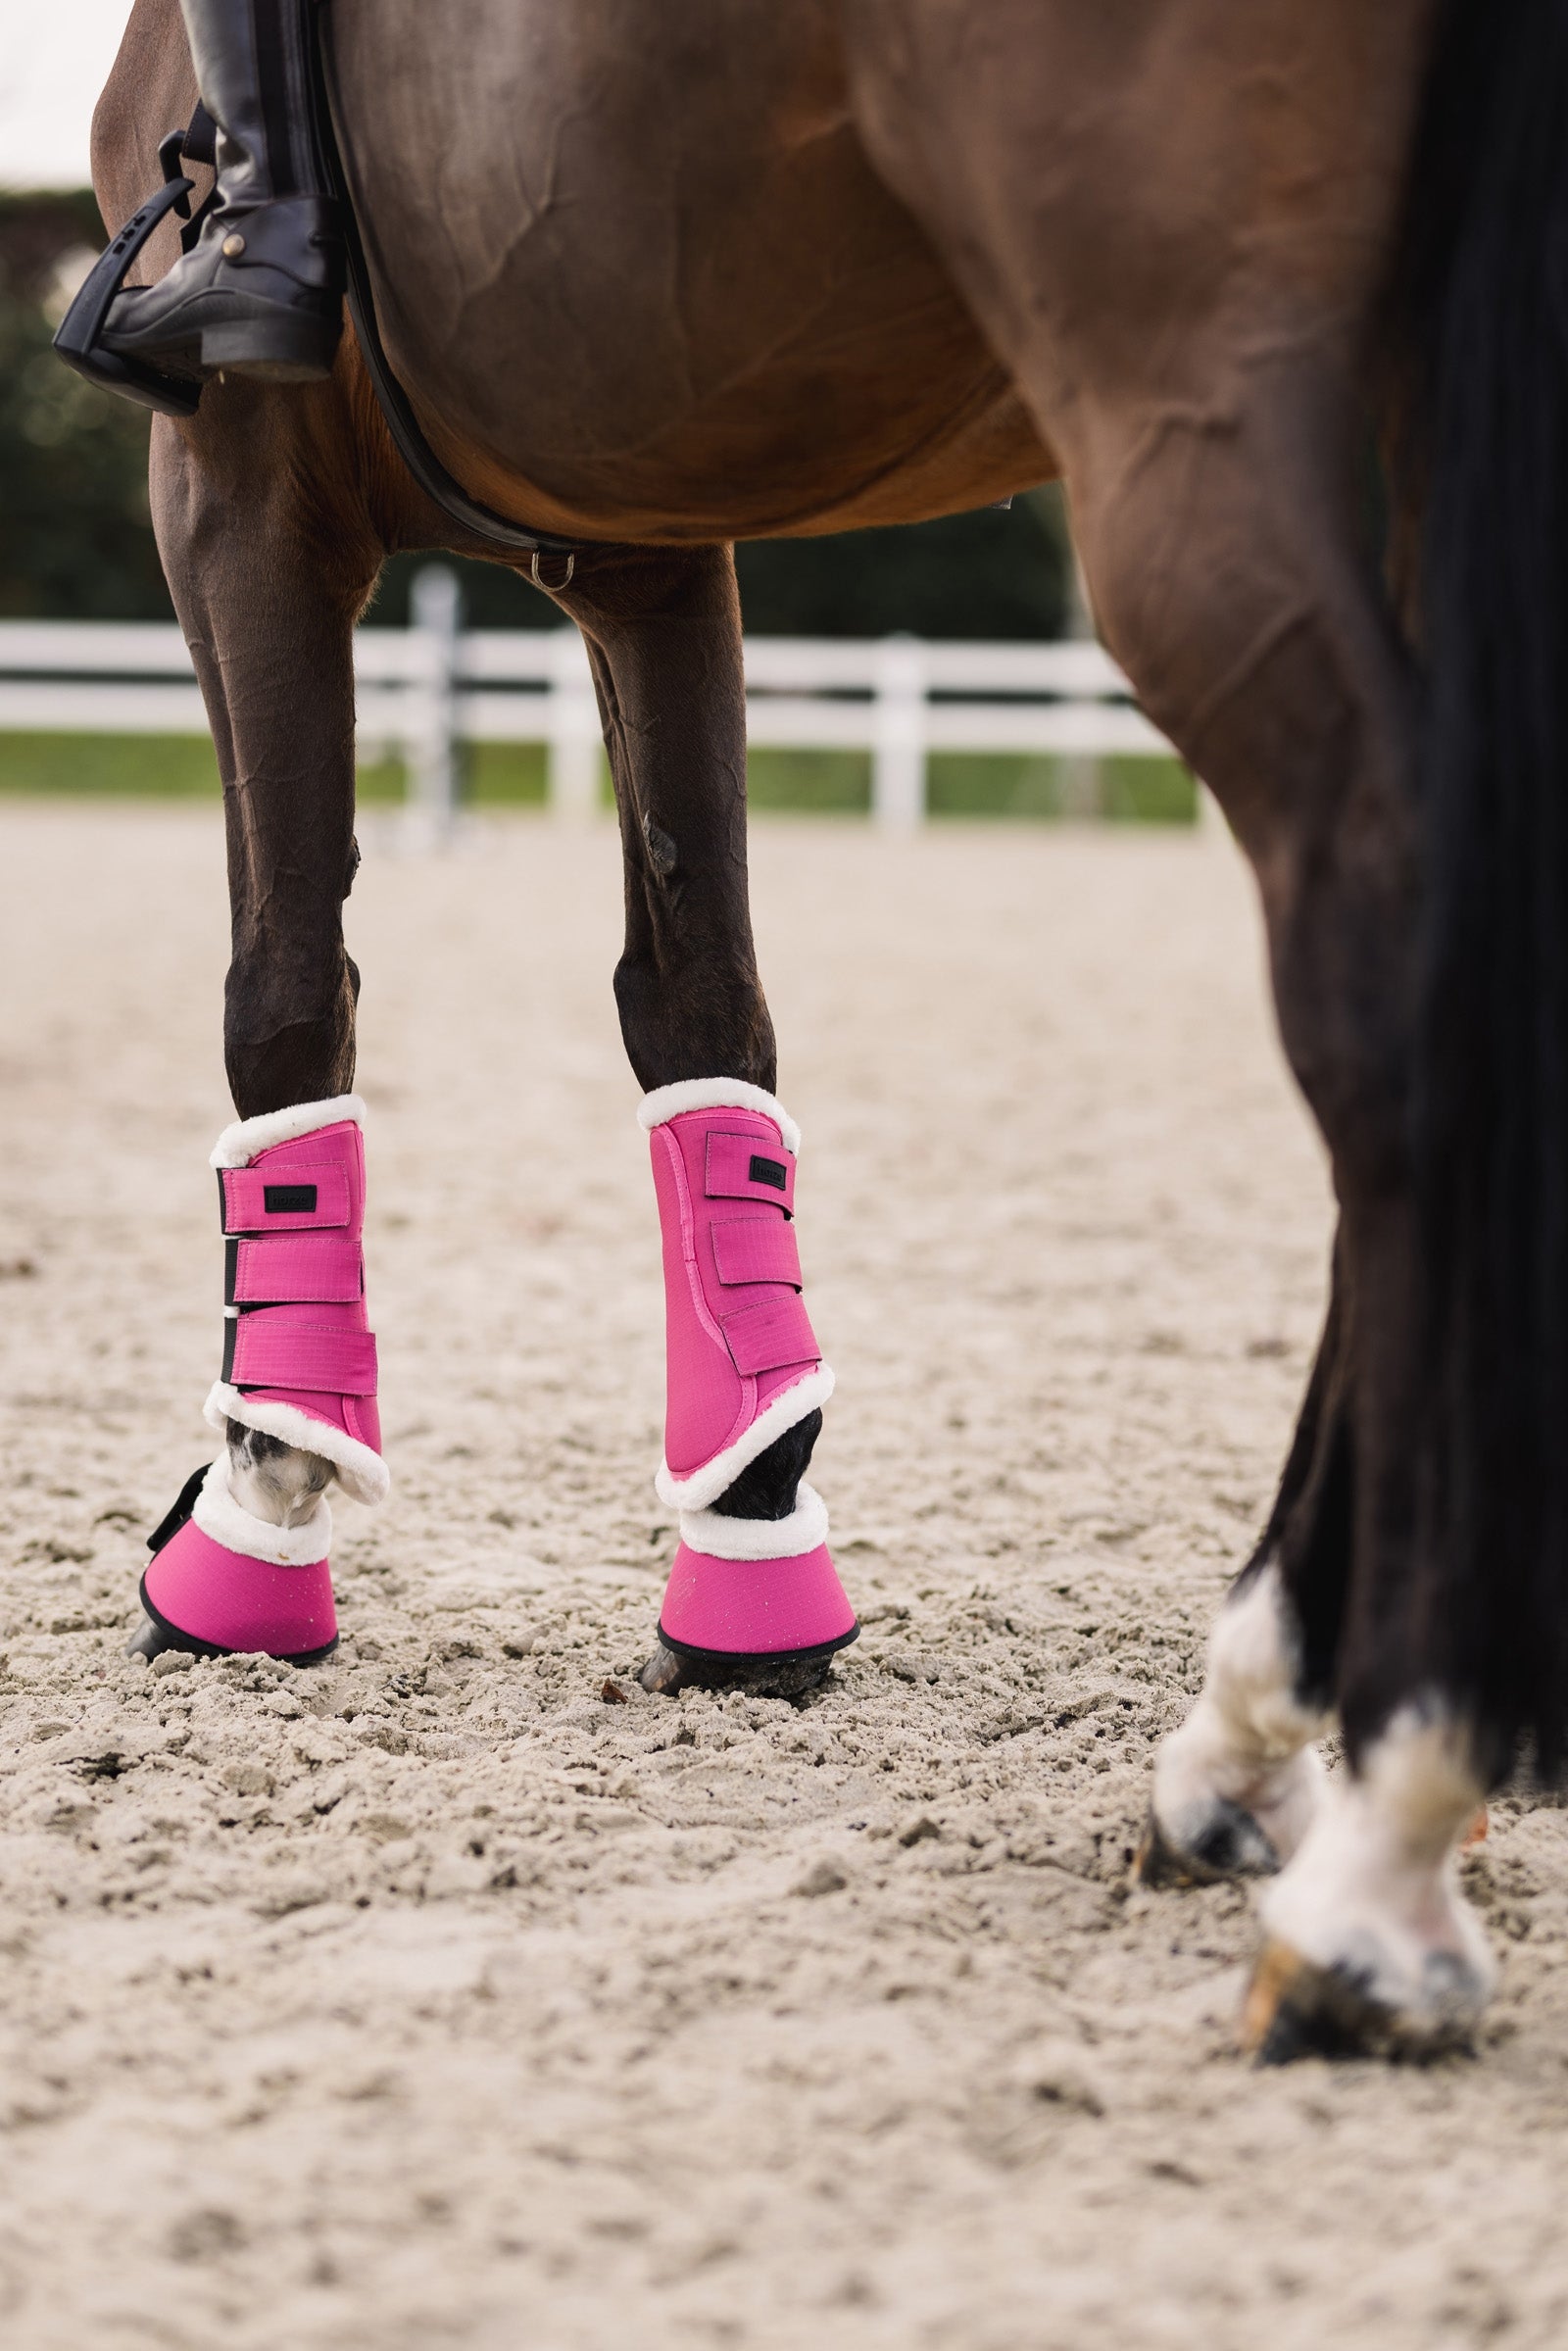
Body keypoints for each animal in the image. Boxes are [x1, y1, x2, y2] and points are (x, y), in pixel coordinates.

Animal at [86, 0, 1568, 2063]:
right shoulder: (639, 520)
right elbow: (700, 1007)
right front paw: (752, 1535)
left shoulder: (239, 482)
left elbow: (286, 986)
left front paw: (256, 1514)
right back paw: (1258, 1741)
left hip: (1193, 404)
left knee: (1394, 999)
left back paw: (1380, 1848)